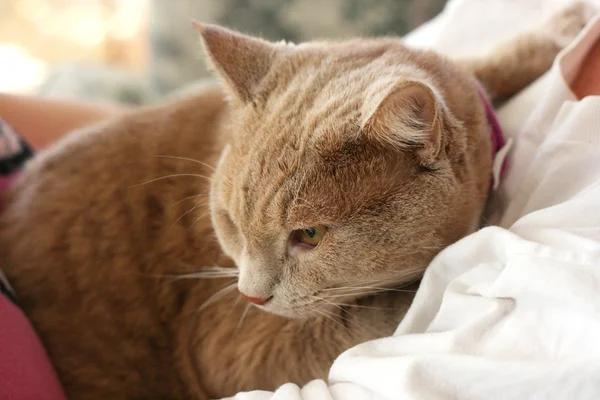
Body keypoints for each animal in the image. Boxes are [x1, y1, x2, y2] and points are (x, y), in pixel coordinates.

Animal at [0, 3, 592, 400]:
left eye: (309, 235)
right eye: (229, 223)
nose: (250, 294)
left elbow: (467, 70)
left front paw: (559, 32)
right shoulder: (229, 344)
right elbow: (370, 317)